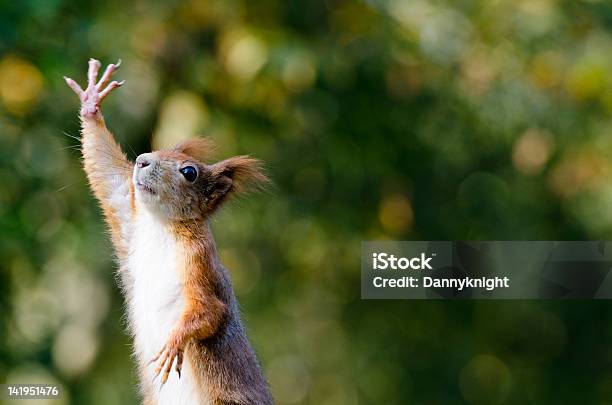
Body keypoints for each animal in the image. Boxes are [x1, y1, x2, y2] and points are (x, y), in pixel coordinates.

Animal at [64, 58, 272, 402]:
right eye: (157, 150)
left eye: (189, 172)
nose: (141, 161)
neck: (161, 227)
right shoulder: (131, 218)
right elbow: (108, 176)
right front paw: (92, 101)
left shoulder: (200, 262)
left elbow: (209, 310)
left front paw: (174, 343)